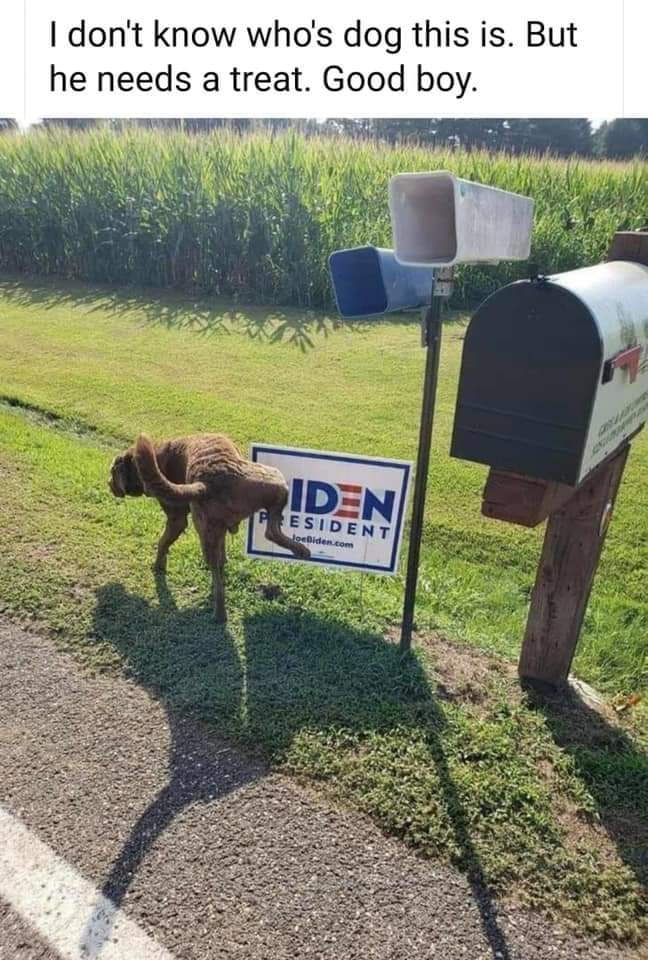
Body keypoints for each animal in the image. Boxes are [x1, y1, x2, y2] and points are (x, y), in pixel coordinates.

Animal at [109, 436, 312, 624]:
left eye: (112, 473)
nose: (108, 484)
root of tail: (205, 483)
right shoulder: (182, 520)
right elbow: (163, 543)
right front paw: (159, 567)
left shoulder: (185, 521)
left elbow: (165, 542)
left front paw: (159, 567)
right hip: (276, 480)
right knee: (271, 531)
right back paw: (301, 550)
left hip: (208, 530)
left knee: (217, 571)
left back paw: (218, 610)